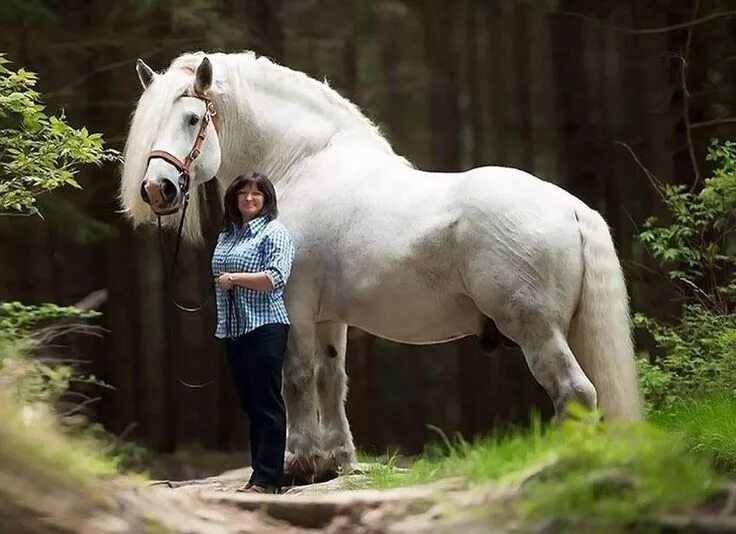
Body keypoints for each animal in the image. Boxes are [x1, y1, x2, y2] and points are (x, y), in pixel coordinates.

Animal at [121, 52, 640, 484]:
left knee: (575, 392)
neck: (303, 164)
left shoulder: (294, 304)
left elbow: (297, 379)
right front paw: (336, 461)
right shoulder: (329, 318)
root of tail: (572, 208)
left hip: (536, 329)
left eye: (192, 119)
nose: (157, 189)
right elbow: (331, 379)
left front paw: (298, 463)